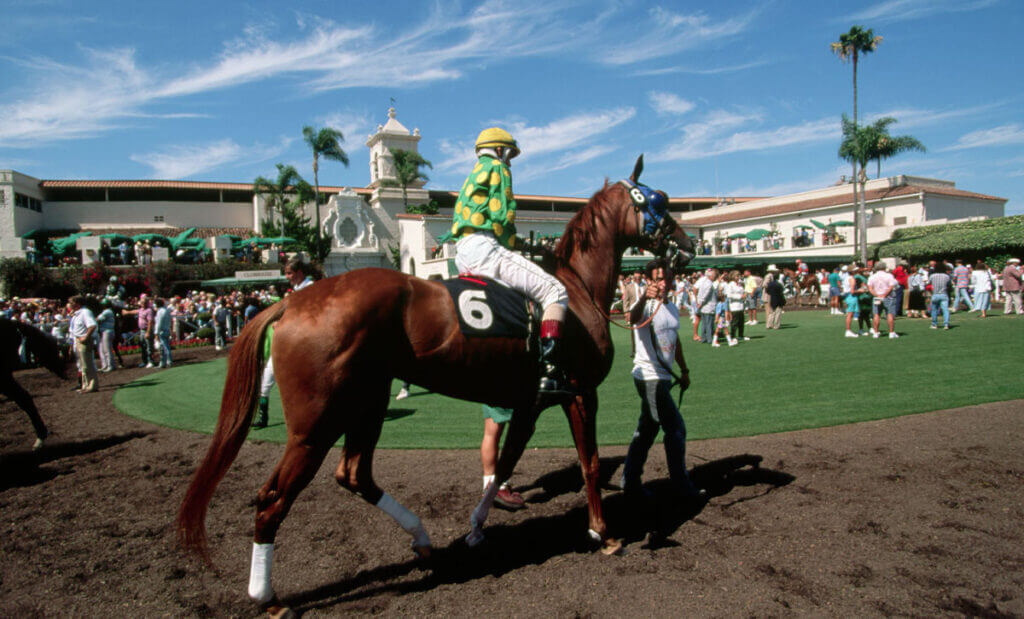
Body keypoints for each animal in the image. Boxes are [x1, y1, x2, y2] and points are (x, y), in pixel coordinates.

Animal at [178, 155, 696, 614]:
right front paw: (603, 533)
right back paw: (267, 598)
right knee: (272, 500)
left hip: (367, 403)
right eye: (660, 199)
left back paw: (423, 540)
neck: (577, 289)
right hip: (314, 427)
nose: (687, 246)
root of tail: (291, 302)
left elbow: (503, 465)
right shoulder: (581, 395)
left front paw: (476, 530)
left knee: (354, 474)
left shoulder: (528, 404)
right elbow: (587, 463)